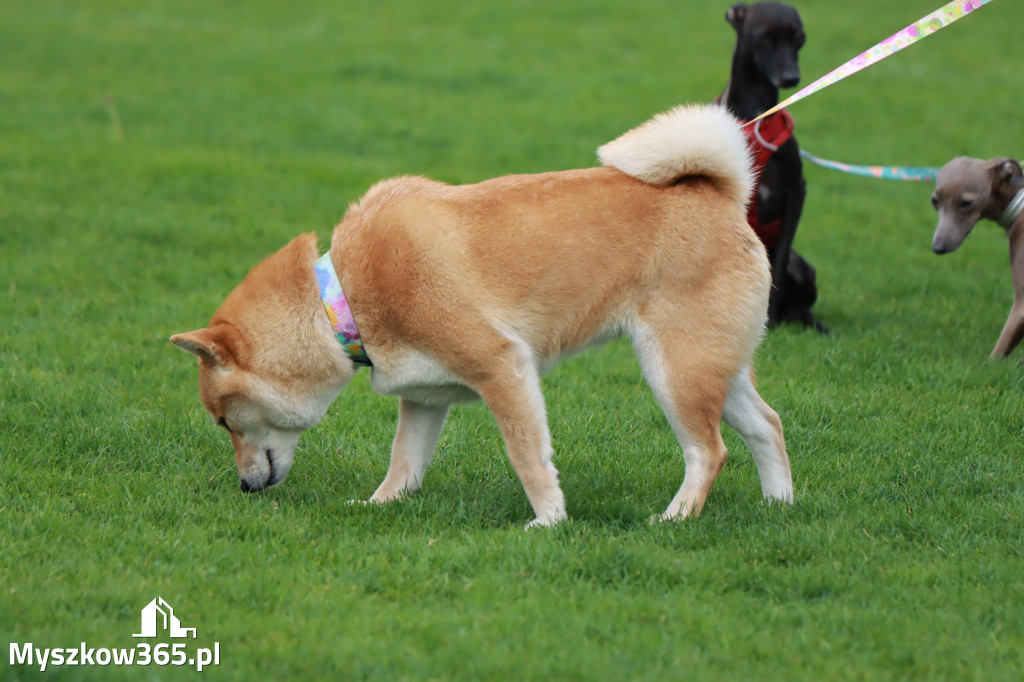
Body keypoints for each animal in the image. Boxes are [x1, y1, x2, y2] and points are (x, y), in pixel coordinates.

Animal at [172, 103, 790, 524]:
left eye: (224, 421)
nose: (244, 488)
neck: (341, 299)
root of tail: (718, 195)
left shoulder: (503, 367)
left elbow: (527, 457)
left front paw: (549, 522)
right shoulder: (422, 398)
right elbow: (403, 462)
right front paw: (379, 506)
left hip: (675, 371)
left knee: (709, 451)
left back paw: (674, 518)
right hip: (715, 368)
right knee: (768, 427)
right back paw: (780, 508)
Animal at [720, 0, 823, 329]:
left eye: (799, 36)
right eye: (764, 36)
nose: (790, 77)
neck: (757, 118)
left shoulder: (796, 192)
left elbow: (777, 267)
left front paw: (771, 321)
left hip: (803, 269)